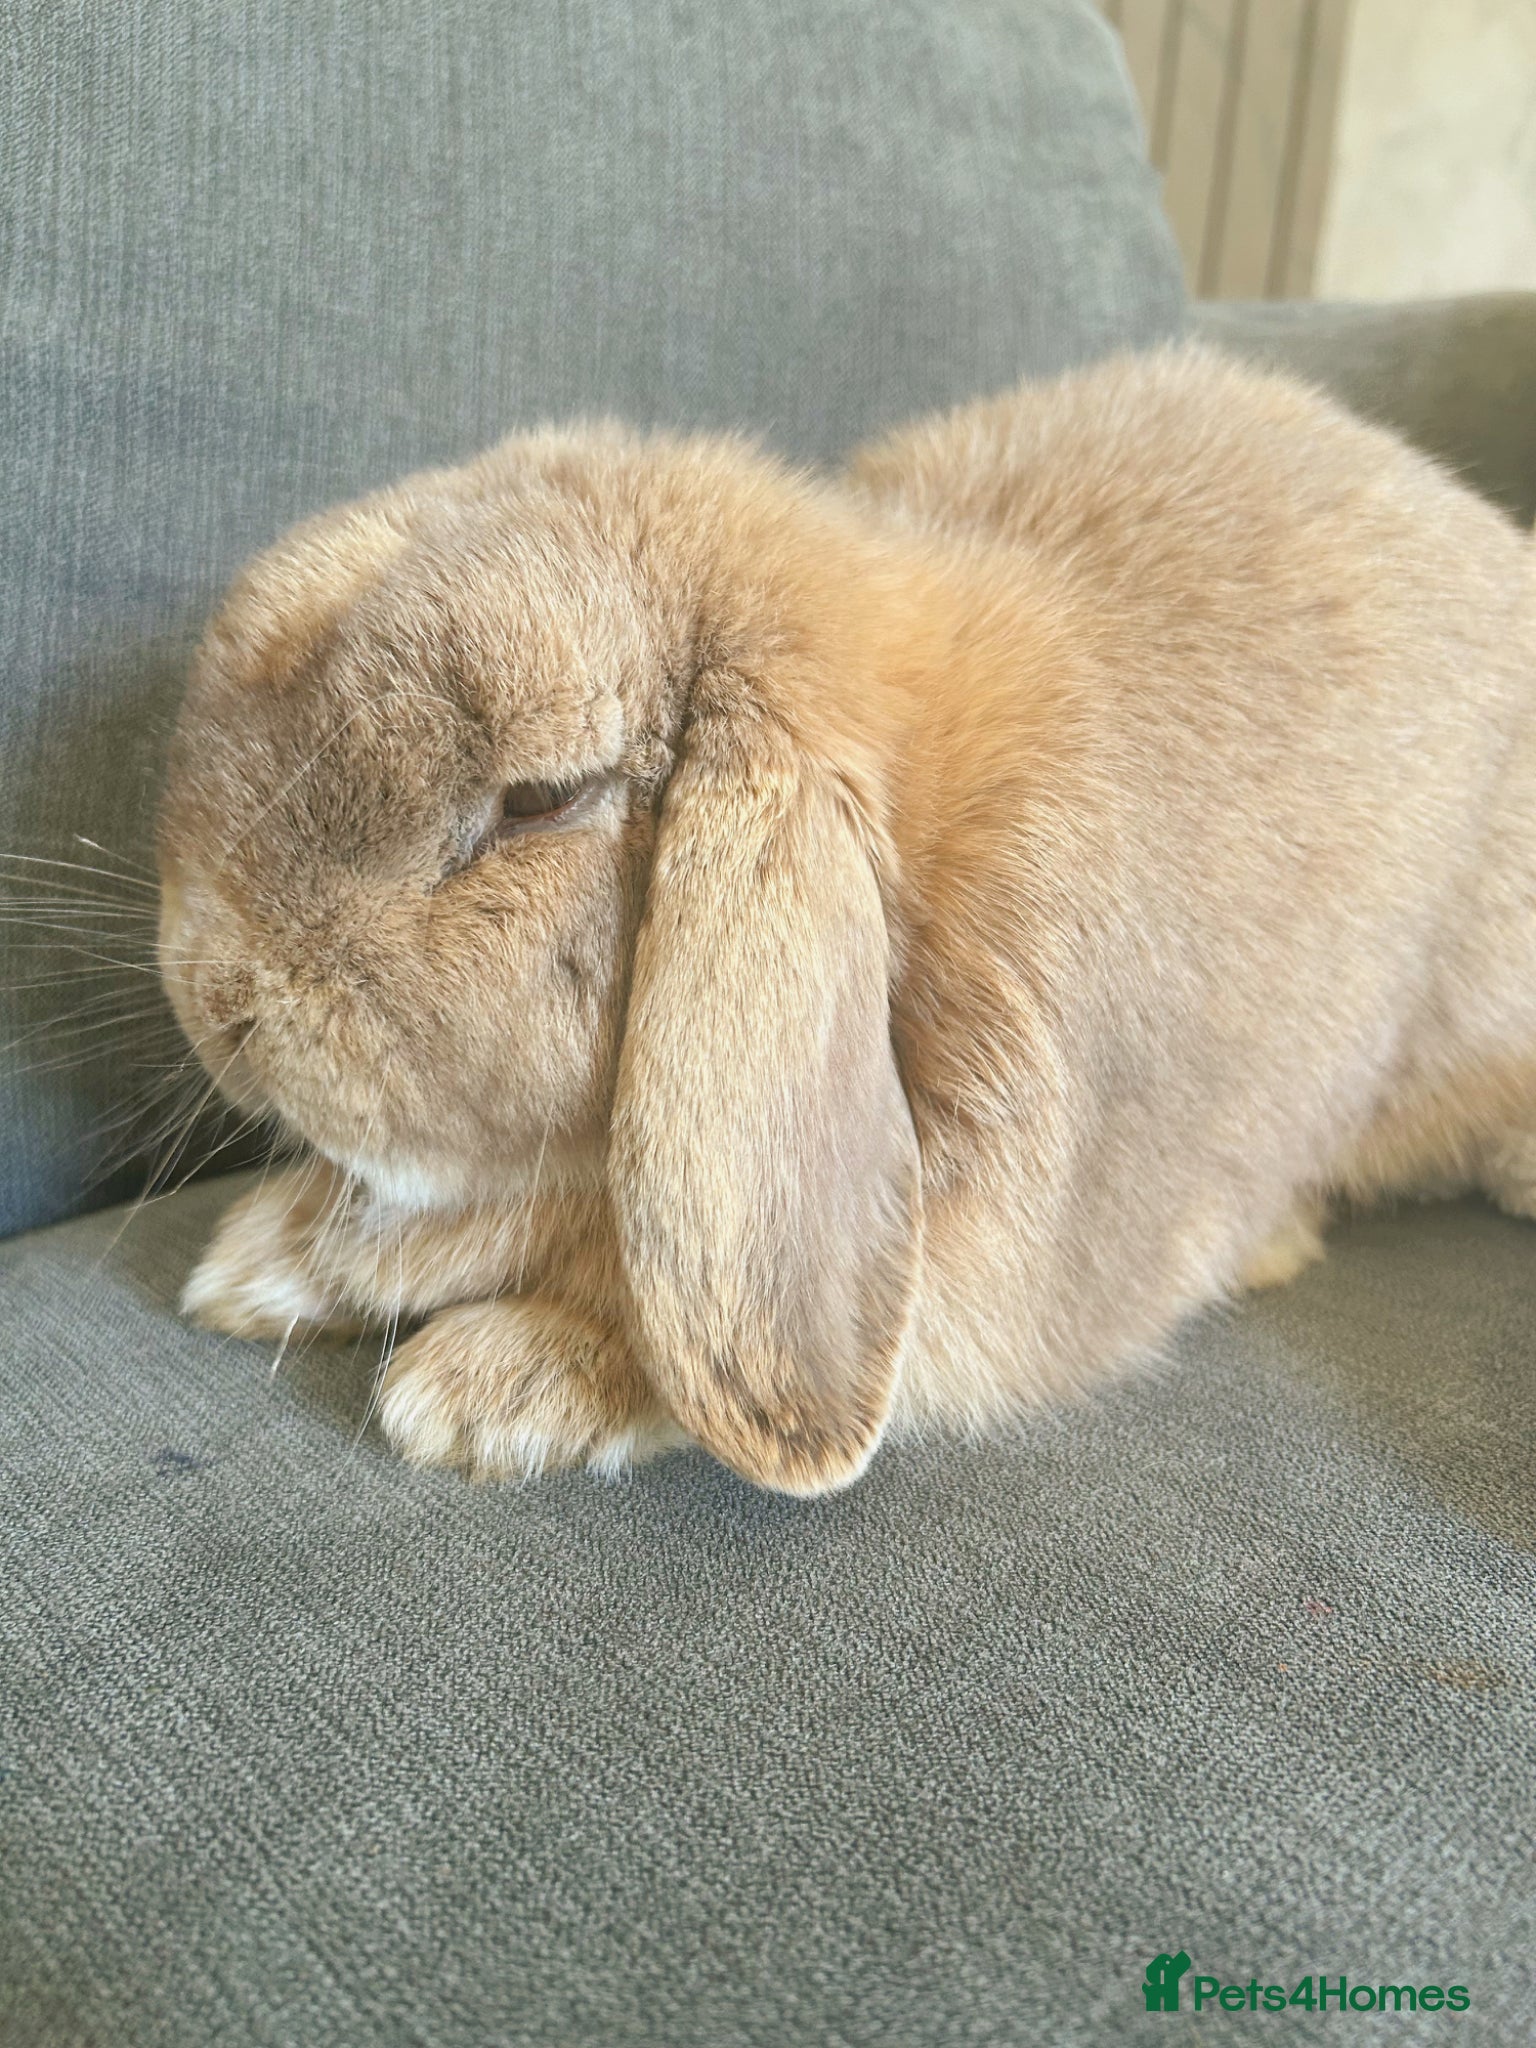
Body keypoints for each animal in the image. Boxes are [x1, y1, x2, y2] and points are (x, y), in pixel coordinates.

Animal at [161, 344, 1536, 1496]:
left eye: (538, 800)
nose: (213, 1001)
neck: (904, 873)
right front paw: (261, 1255)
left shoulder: (962, 1256)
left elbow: (663, 1315)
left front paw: (484, 1388)